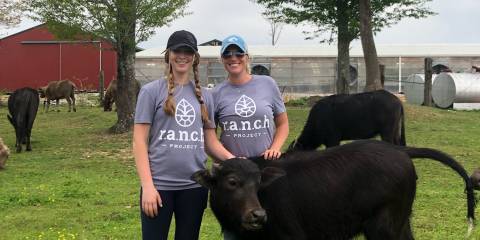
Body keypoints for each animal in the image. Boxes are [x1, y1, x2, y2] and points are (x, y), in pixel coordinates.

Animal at [193, 141, 474, 240]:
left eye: (259, 182)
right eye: (232, 182)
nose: (258, 215)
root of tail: (398, 150)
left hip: (382, 226)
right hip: (400, 222)